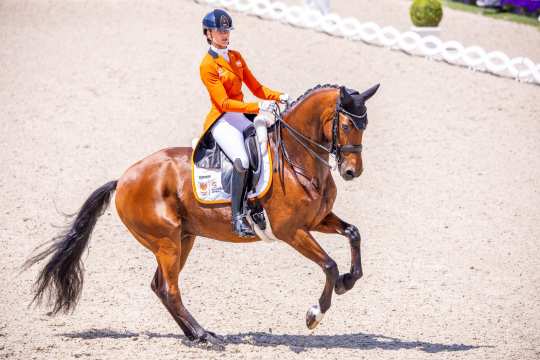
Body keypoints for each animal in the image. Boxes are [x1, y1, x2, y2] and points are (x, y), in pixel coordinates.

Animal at [24, 83, 380, 344]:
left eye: (365, 126)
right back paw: (205, 336)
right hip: (166, 241)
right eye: (346, 124)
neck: (296, 159)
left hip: (184, 237)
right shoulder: (291, 231)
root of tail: (123, 179)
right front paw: (314, 314)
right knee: (170, 289)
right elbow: (329, 265)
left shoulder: (316, 221)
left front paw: (349, 280)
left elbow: (354, 233)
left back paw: (196, 334)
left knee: (160, 287)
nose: (352, 171)